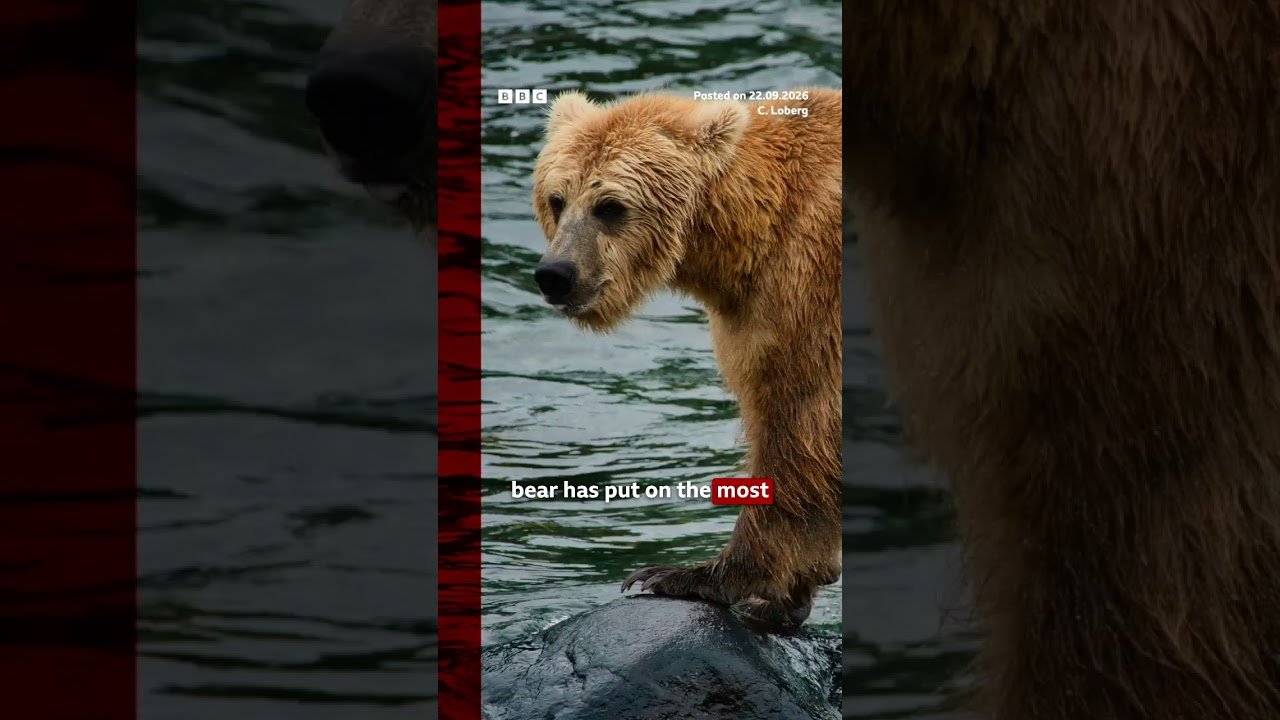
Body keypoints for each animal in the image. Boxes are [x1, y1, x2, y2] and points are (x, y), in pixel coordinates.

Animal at [529, 89, 844, 630]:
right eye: (557, 198)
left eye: (610, 206)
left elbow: (801, 425)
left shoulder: (810, 289)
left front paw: (686, 576)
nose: (556, 274)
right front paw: (790, 593)